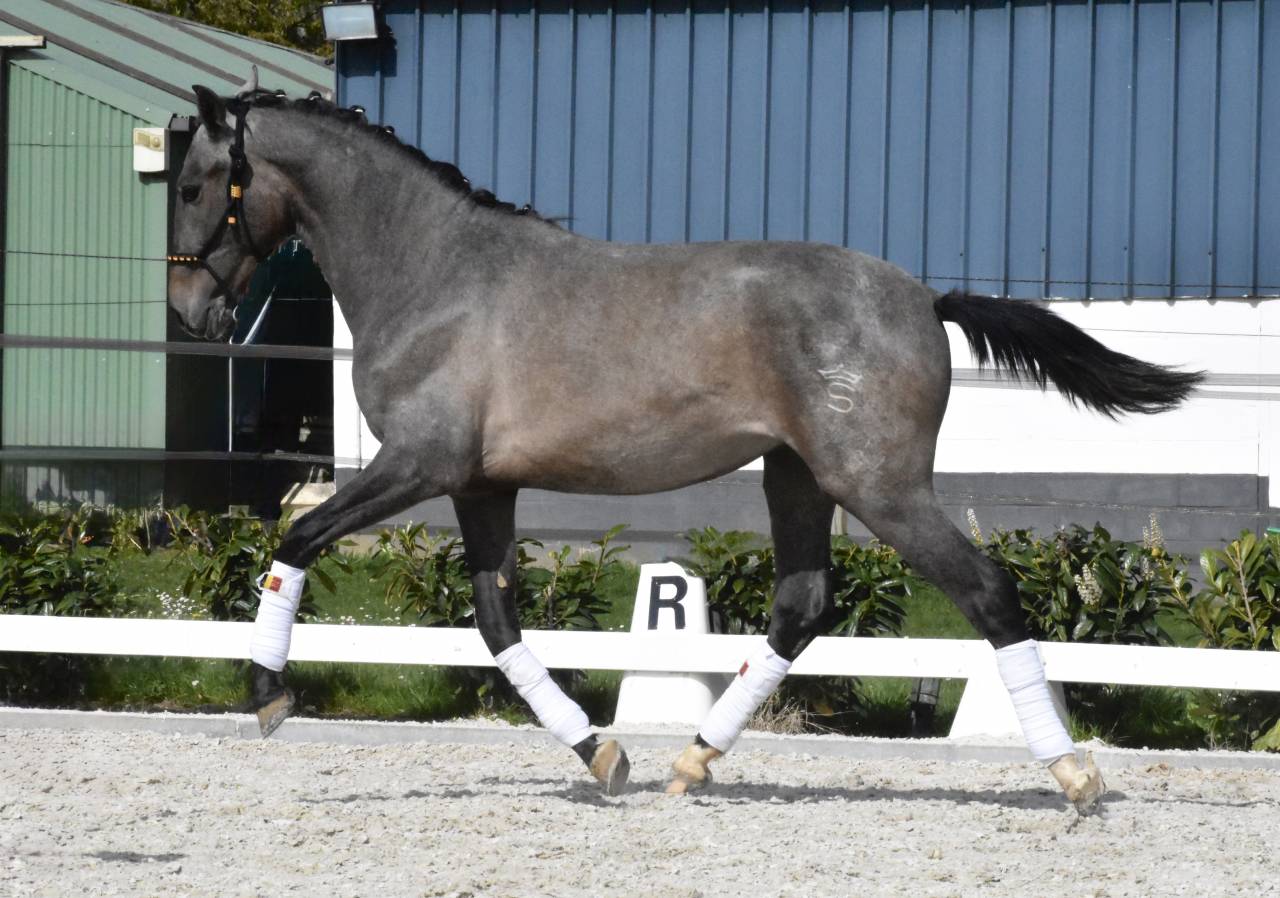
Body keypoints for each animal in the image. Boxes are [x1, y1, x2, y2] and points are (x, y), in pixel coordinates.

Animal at [167, 72, 1200, 813]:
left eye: (192, 183)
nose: (189, 314)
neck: (435, 273)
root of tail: (922, 296)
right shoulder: (479, 486)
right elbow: (498, 625)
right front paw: (604, 754)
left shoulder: (415, 467)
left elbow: (296, 540)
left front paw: (267, 697)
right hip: (798, 478)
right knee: (801, 606)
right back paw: (693, 763)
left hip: (879, 487)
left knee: (986, 591)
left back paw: (1074, 778)